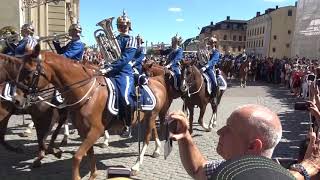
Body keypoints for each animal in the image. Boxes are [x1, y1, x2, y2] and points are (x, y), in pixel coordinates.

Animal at [16, 44, 168, 179]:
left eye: (28, 71)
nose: (16, 99)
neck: (87, 93)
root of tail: (158, 82)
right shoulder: (84, 131)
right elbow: (89, 153)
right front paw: (93, 174)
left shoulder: (96, 130)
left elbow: (77, 156)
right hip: (148, 117)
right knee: (153, 130)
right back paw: (156, 150)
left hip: (151, 115)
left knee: (147, 137)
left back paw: (137, 165)